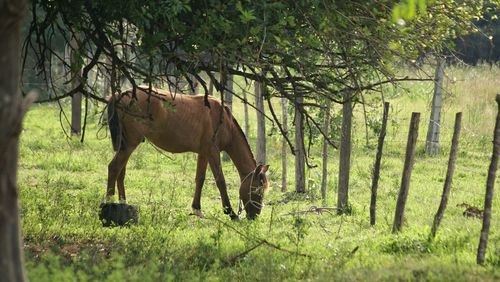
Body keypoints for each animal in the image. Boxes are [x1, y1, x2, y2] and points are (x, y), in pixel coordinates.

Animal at [106, 87, 270, 219]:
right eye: (257, 191)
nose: (254, 216)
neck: (223, 121)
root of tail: (120, 95)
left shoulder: (204, 153)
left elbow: (200, 179)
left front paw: (196, 208)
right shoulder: (212, 152)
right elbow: (220, 181)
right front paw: (230, 212)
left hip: (126, 145)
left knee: (121, 171)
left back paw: (123, 202)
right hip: (129, 144)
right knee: (114, 168)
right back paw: (108, 203)